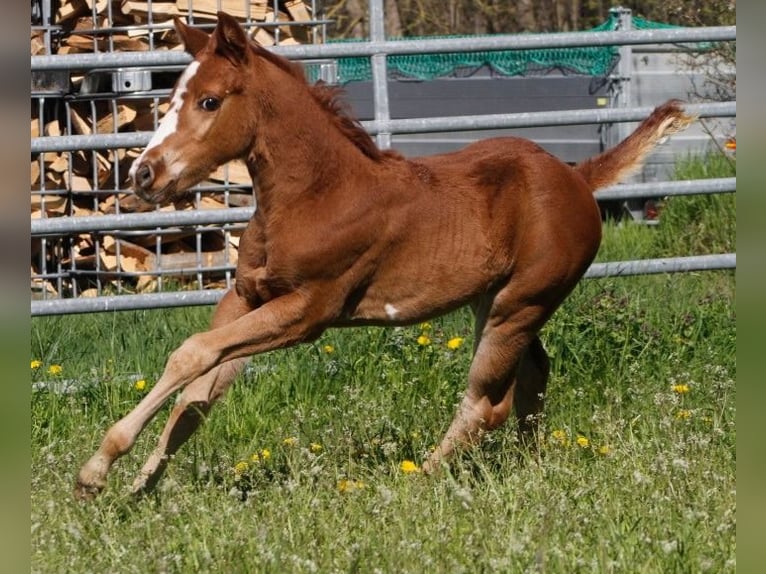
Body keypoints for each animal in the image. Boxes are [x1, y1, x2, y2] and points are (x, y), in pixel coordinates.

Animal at [75, 11, 700, 502]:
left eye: (209, 100)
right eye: (170, 98)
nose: (143, 175)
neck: (317, 194)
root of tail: (578, 178)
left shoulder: (307, 313)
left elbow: (191, 354)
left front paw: (96, 472)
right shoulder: (245, 298)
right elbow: (198, 394)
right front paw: (139, 486)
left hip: (519, 305)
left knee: (486, 401)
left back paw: (420, 479)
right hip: (496, 301)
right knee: (531, 379)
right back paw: (529, 463)